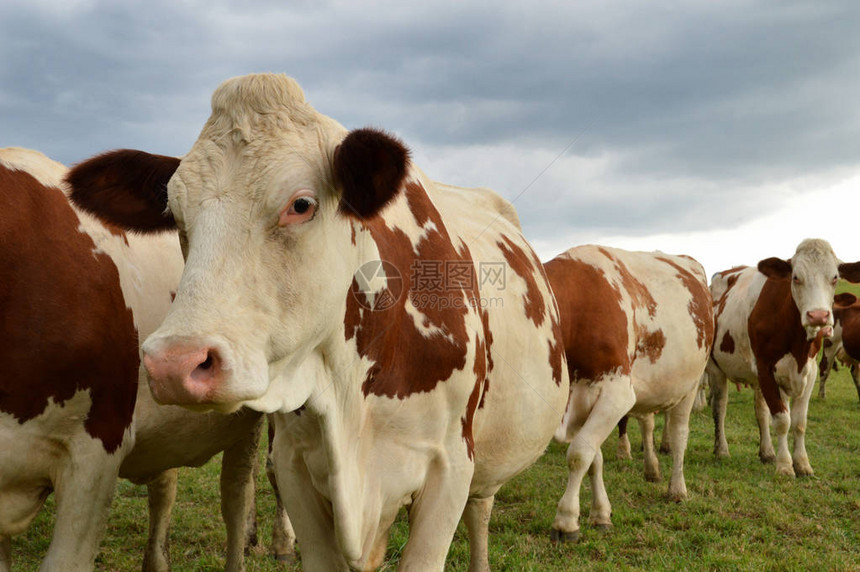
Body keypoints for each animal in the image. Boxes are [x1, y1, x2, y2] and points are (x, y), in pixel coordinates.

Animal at [63, 73, 568, 568]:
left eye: (301, 204)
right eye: (174, 212)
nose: (174, 362)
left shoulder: (450, 467)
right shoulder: (295, 467)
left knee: (481, 510)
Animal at [544, 245, 712, 540]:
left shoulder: (616, 394)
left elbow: (578, 455)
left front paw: (566, 520)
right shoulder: (582, 399)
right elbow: (594, 458)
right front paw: (600, 514)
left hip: (690, 385)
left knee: (680, 434)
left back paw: (677, 489)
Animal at [704, 239, 860, 476]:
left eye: (835, 278)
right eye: (795, 277)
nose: (818, 315)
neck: (798, 344)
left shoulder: (808, 371)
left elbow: (798, 421)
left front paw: (802, 463)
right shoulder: (766, 368)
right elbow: (781, 420)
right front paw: (785, 466)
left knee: (760, 410)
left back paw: (767, 452)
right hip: (716, 368)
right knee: (719, 406)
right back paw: (721, 450)